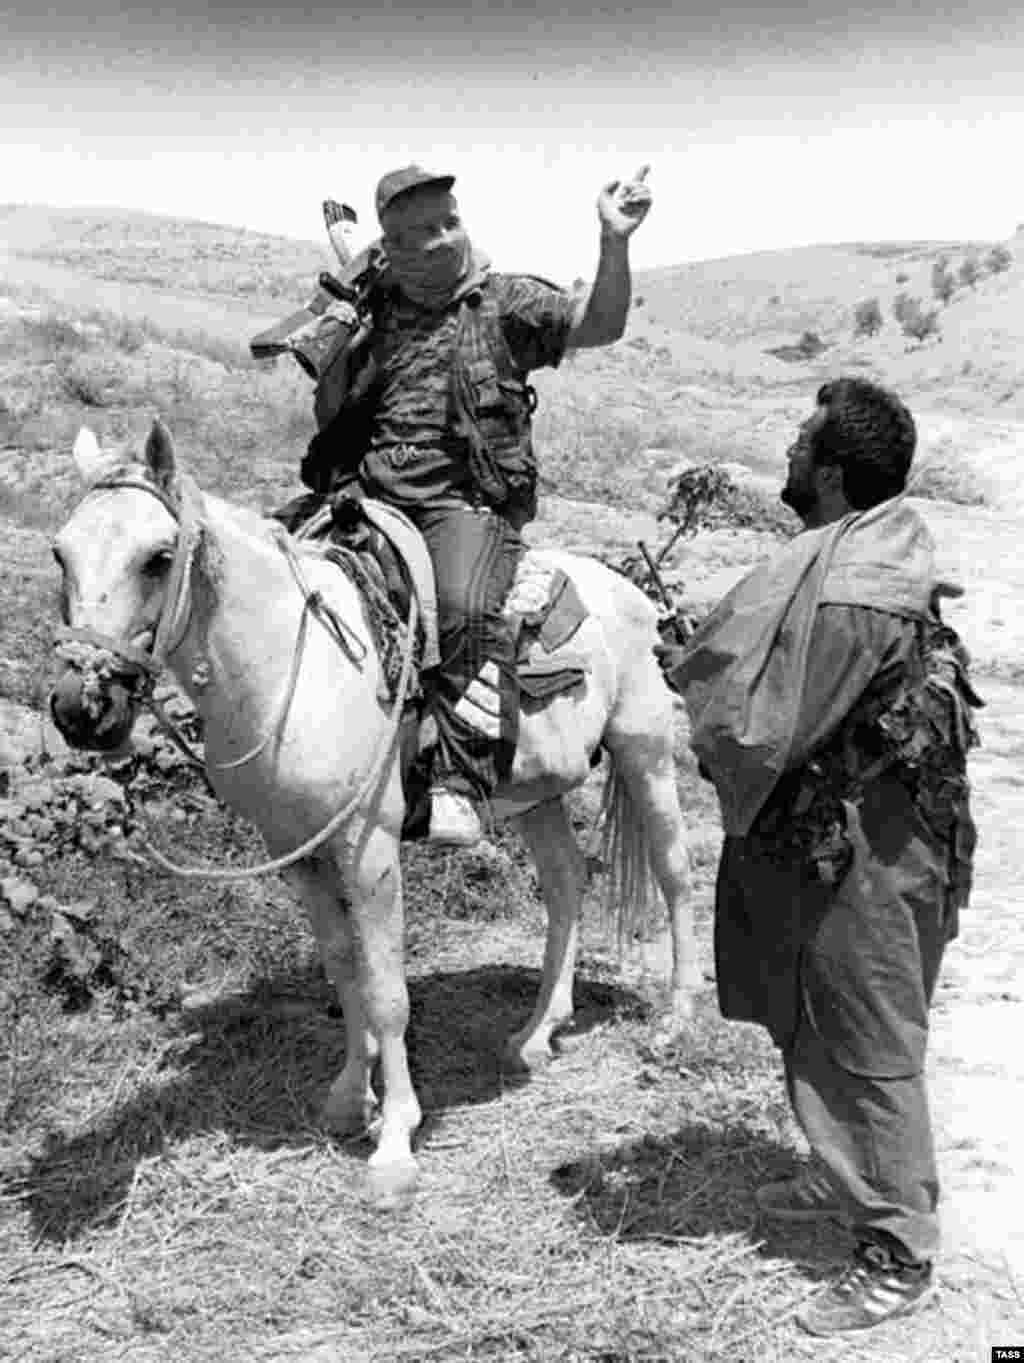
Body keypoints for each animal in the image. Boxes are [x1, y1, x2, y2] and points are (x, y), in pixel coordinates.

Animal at [54, 419, 698, 1199]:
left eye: (158, 557)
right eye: (60, 552)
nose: (80, 709)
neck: (291, 669)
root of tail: (631, 591)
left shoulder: (371, 849)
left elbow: (388, 989)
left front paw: (394, 1141)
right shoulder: (298, 849)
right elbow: (343, 967)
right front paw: (347, 1097)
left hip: (646, 750)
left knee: (675, 872)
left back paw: (677, 1021)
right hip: (538, 793)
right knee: (567, 886)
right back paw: (538, 1033)